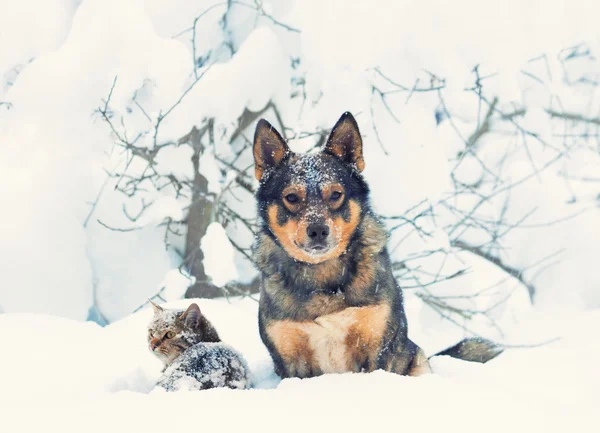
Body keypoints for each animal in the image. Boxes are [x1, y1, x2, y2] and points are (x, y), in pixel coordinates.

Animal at [250, 112, 502, 378]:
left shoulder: (375, 346)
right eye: (291, 197)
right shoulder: (290, 357)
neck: (323, 276)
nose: (318, 231)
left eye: (336, 194)